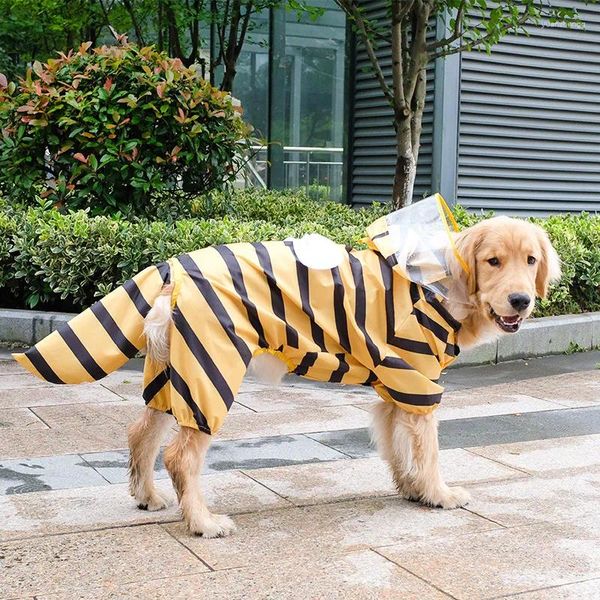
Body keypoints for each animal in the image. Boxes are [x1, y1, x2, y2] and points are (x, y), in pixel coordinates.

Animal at [125, 216, 556, 540]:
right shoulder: (420, 385)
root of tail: (174, 275)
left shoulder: (397, 388)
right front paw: (438, 494)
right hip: (211, 375)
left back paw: (147, 496)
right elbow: (428, 453)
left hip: (172, 378)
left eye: (531, 260)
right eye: (493, 261)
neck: (440, 287)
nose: (521, 300)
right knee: (180, 456)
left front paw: (412, 490)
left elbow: (399, 448)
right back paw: (202, 522)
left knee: (140, 433)